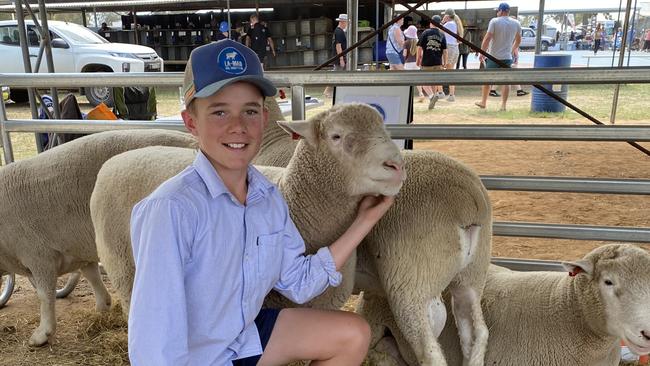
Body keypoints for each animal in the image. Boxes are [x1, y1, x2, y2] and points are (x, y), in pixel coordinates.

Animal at [0, 129, 196, 346]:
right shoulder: (79, 250)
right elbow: (92, 274)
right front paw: (103, 305)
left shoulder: (38, 254)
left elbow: (44, 295)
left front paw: (42, 333)